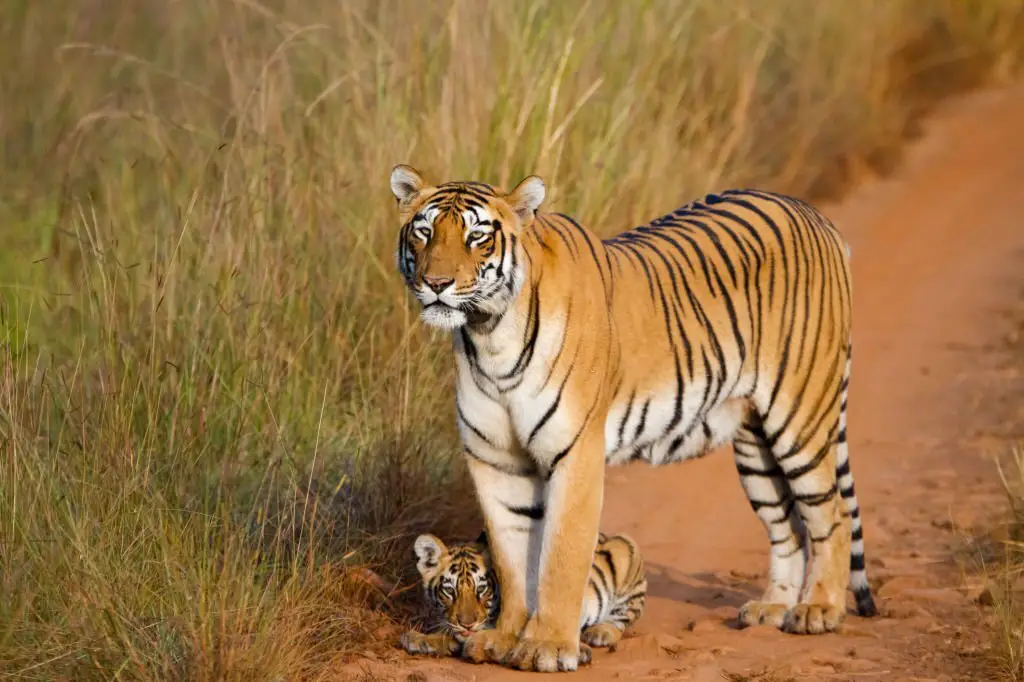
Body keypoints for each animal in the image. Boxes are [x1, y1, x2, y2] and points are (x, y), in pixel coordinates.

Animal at [401, 528, 647, 655]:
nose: (468, 624)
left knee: (623, 617)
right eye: (450, 591)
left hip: (626, 549)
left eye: (482, 589)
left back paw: (600, 633)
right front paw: (417, 638)